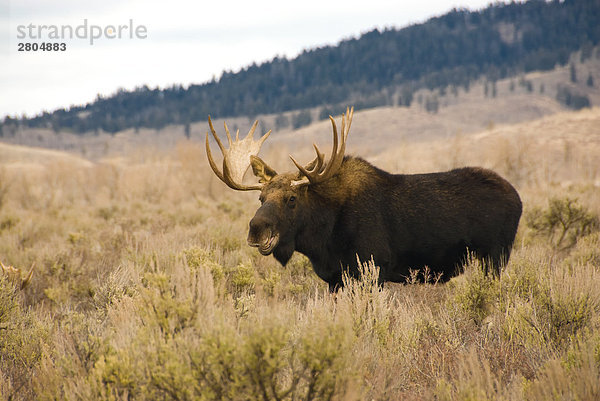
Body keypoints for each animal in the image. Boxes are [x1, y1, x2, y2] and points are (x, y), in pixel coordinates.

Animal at [205, 108, 520, 290]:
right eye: (260, 197)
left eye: (292, 198)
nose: (257, 229)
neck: (322, 238)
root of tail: (518, 198)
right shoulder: (335, 279)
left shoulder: (373, 270)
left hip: (494, 259)